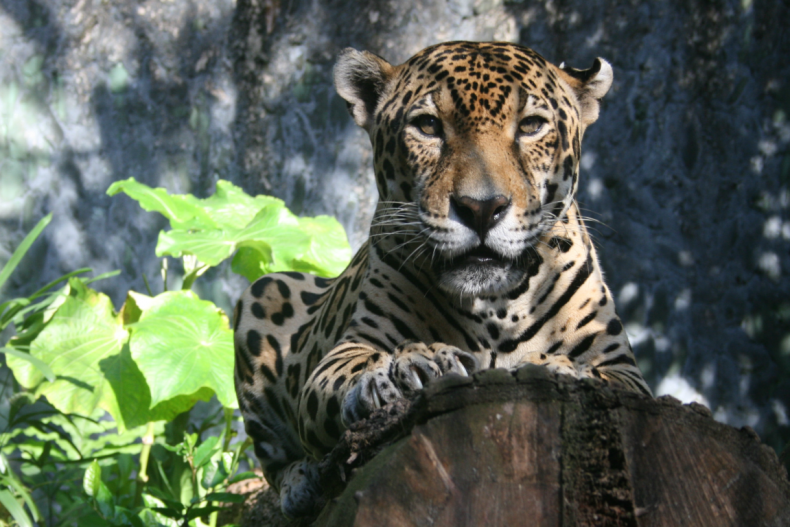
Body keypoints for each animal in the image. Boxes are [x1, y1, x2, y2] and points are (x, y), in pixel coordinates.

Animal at [233, 41, 653, 518]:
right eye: (428, 126)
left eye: (531, 126)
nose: (482, 208)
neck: (497, 304)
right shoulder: (343, 351)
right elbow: (355, 368)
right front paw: (408, 368)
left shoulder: (625, 374)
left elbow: (590, 373)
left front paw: (555, 368)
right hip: (263, 292)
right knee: (273, 460)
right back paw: (300, 483)